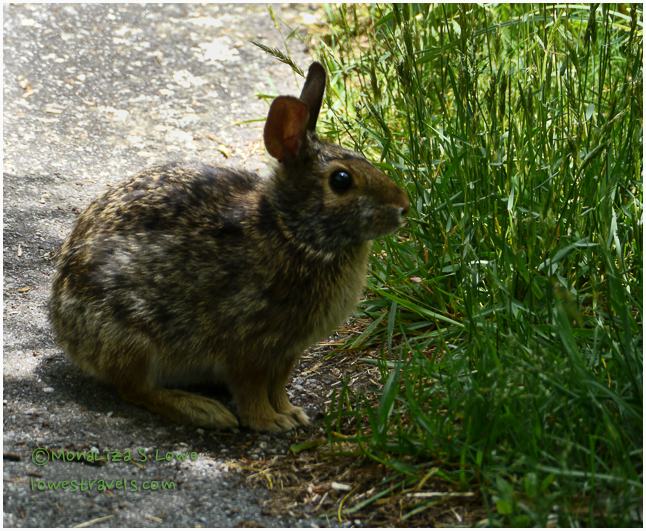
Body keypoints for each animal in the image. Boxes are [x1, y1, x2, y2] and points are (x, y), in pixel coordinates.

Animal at [49, 62, 409, 432]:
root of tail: (62, 324)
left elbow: (278, 386)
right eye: (341, 180)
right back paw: (204, 410)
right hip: (134, 339)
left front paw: (292, 413)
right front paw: (269, 422)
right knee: (135, 389)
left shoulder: (287, 351)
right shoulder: (247, 345)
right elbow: (251, 390)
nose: (403, 207)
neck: (292, 232)